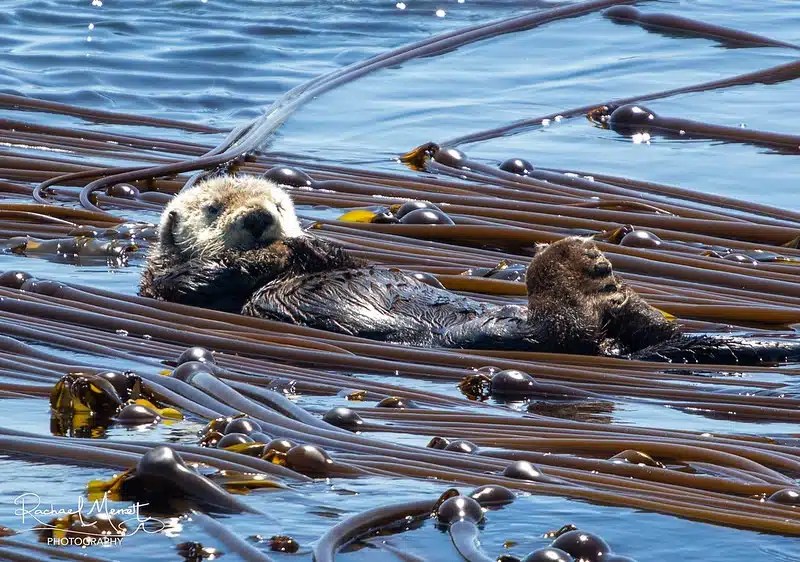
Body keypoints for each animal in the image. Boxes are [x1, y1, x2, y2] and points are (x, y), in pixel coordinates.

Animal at [140, 175, 800, 365]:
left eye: (278, 205)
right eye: (215, 209)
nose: (259, 221)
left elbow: (337, 257)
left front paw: (311, 246)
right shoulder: (174, 287)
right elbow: (209, 280)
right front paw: (273, 256)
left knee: (644, 330)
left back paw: (621, 292)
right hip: (526, 334)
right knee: (569, 330)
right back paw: (582, 268)